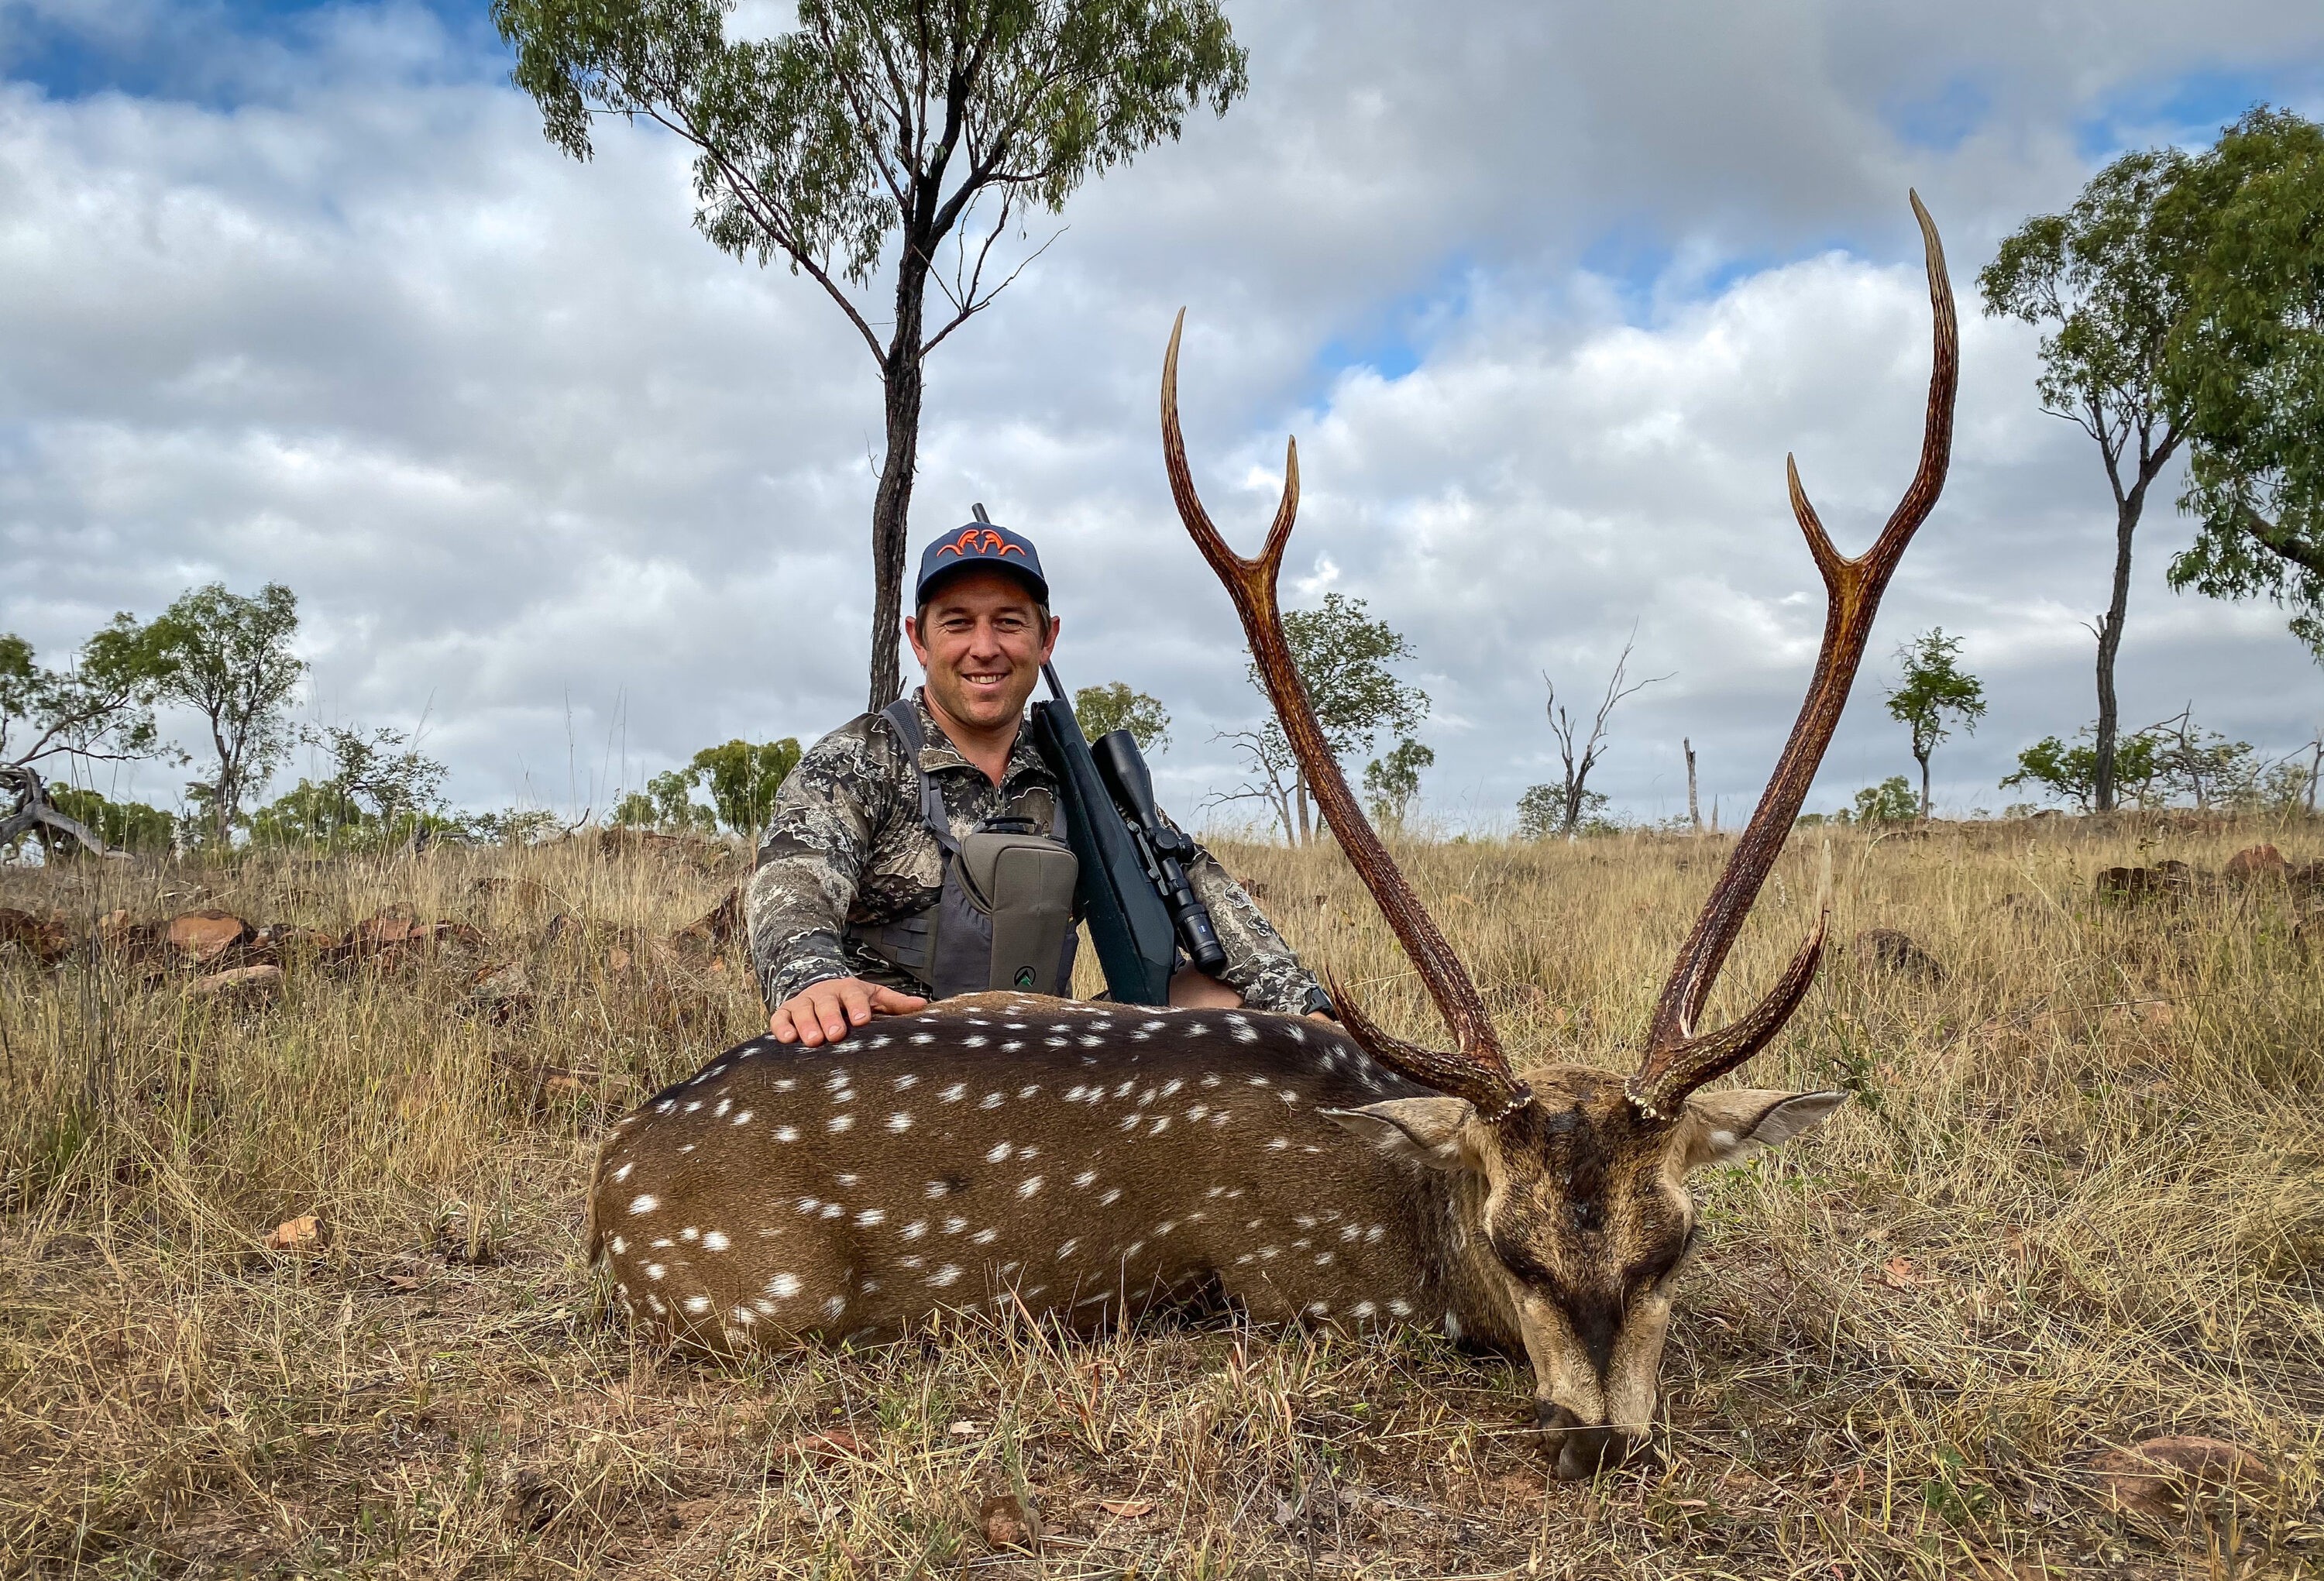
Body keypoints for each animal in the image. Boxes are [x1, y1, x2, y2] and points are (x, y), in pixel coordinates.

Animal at [586, 191, 1961, 1478]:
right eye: (1509, 1246)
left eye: (1678, 1240)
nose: (1596, 1439)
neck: (1408, 1213)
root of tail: (608, 1178)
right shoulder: (1308, 1285)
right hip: (750, 1295)